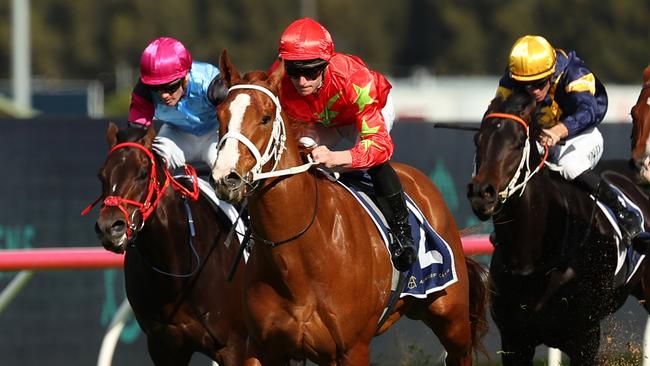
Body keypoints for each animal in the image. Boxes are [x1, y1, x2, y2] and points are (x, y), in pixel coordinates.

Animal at [209, 50, 486, 366]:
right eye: (219, 115)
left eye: (266, 118)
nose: (226, 177)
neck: (297, 259)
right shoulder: (261, 347)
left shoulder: (352, 349)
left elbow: (375, 143)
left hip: (452, 319)